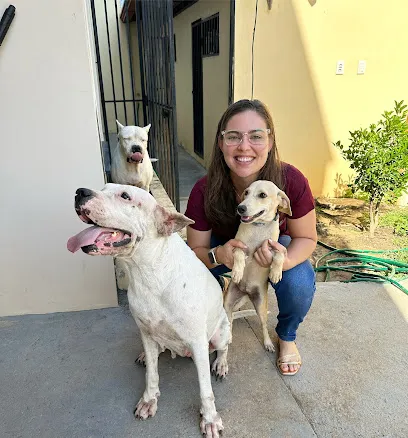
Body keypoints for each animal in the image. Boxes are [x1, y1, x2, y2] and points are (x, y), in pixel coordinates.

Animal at [68, 185, 231, 438]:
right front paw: (148, 400)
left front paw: (210, 418)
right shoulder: (145, 331)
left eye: (125, 196)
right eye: (103, 188)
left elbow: (206, 389)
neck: (148, 273)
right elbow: (152, 375)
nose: (80, 192)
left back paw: (221, 363)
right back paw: (146, 355)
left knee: (223, 348)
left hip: (221, 332)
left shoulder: (197, 341)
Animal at [223, 181, 290, 352]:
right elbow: (239, 255)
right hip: (227, 302)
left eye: (262, 195)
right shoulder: (238, 246)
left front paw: (275, 273)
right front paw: (237, 271)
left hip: (260, 306)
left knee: (264, 326)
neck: (258, 227)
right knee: (228, 321)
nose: (240, 208)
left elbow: (280, 255)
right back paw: (228, 336)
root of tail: (246, 292)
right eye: (246, 192)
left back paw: (268, 343)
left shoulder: (274, 247)